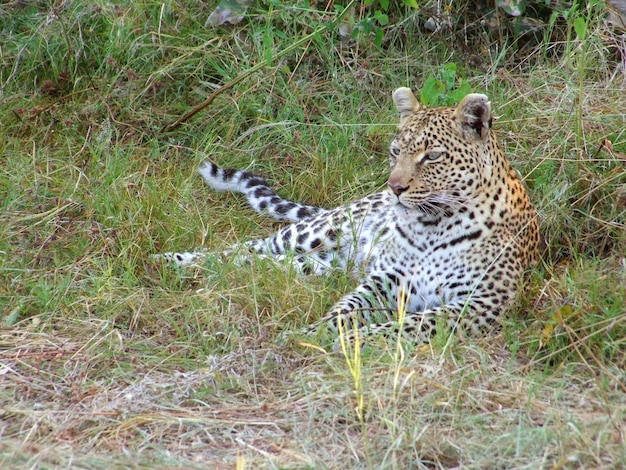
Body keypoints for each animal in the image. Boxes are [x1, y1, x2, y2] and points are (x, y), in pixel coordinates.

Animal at [154, 87, 540, 348]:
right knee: (245, 249)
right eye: (395, 151)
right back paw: (171, 261)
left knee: (266, 265)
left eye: (432, 156)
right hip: (317, 231)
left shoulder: (478, 304)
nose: (394, 187)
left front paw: (354, 340)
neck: (431, 226)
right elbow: (345, 310)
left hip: (319, 266)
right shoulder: (386, 279)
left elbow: (407, 326)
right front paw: (316, 333)